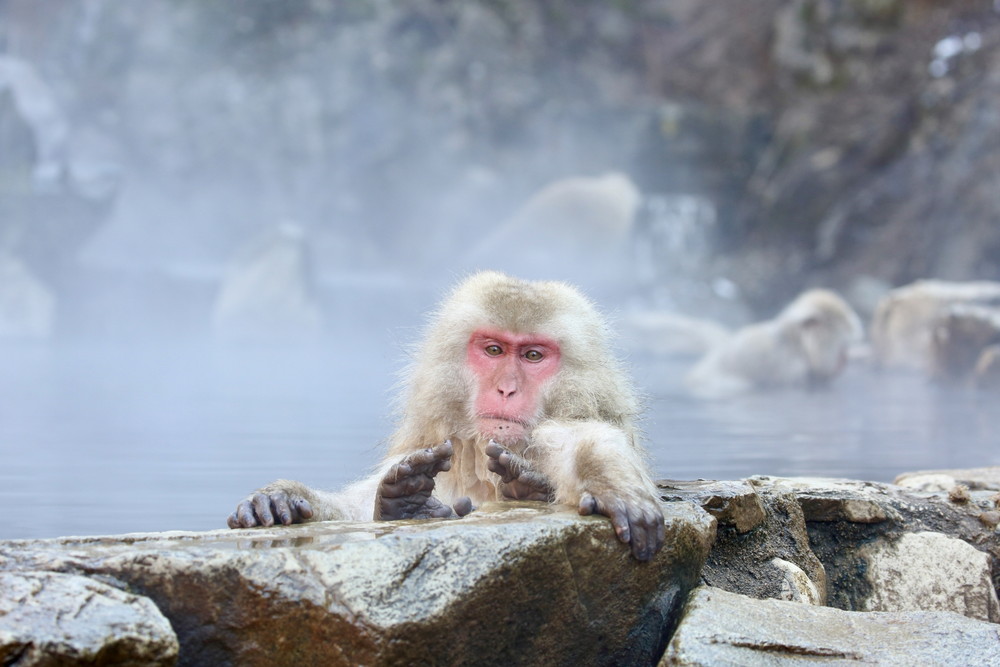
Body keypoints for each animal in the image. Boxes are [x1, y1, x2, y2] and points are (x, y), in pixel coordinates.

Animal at [227, 272, 664, 564]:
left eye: (532, 356)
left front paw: (610, 481)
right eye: (493, 350)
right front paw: (283, 496)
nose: (507, 388)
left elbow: (583, 438)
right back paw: (406, 503)